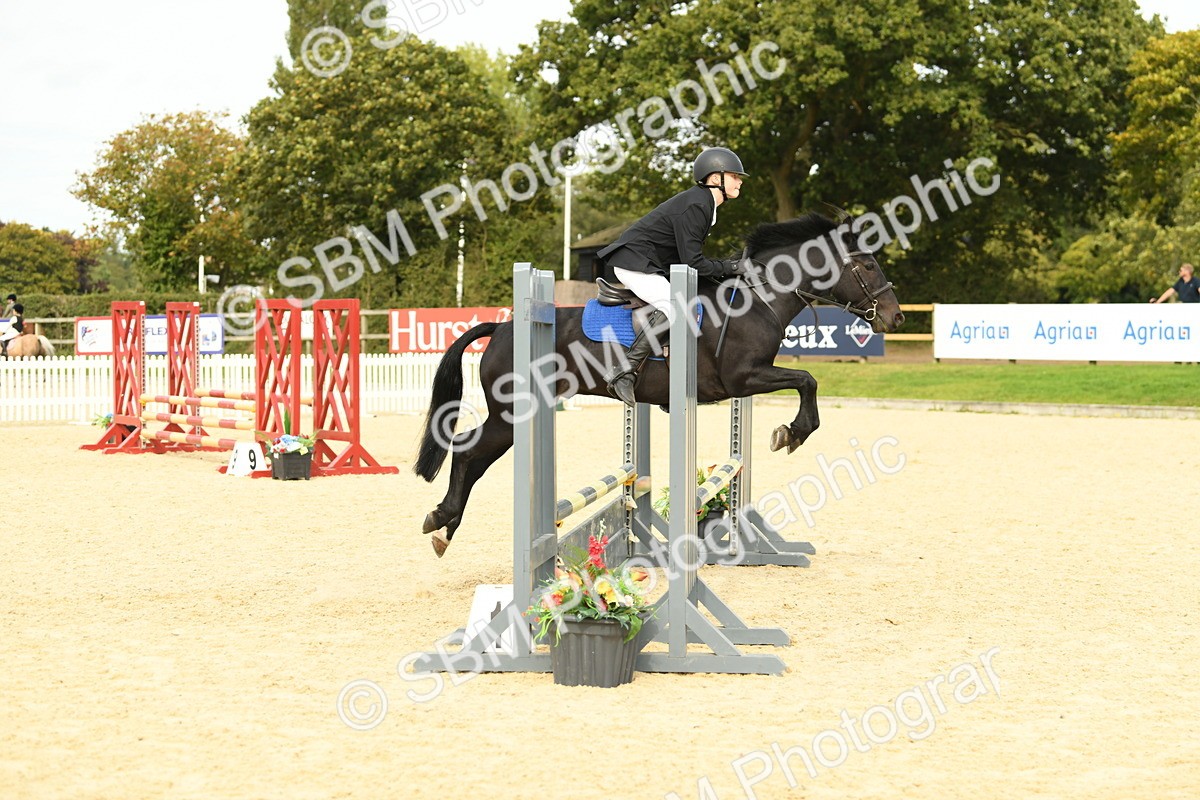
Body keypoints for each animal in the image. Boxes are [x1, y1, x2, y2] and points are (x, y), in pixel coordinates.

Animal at [413, 212, 905, 556]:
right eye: (867, 265)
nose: (895, 317)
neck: (756, 301)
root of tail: (501, 327)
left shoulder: (746, 382)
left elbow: (805, 381)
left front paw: (791, 432)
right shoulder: (744, 377)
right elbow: (807, 379)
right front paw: (793, 432)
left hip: (513, 416)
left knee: (471, 456)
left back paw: (443, 528)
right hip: (514, 412)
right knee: (468, 453)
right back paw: (441, 519)